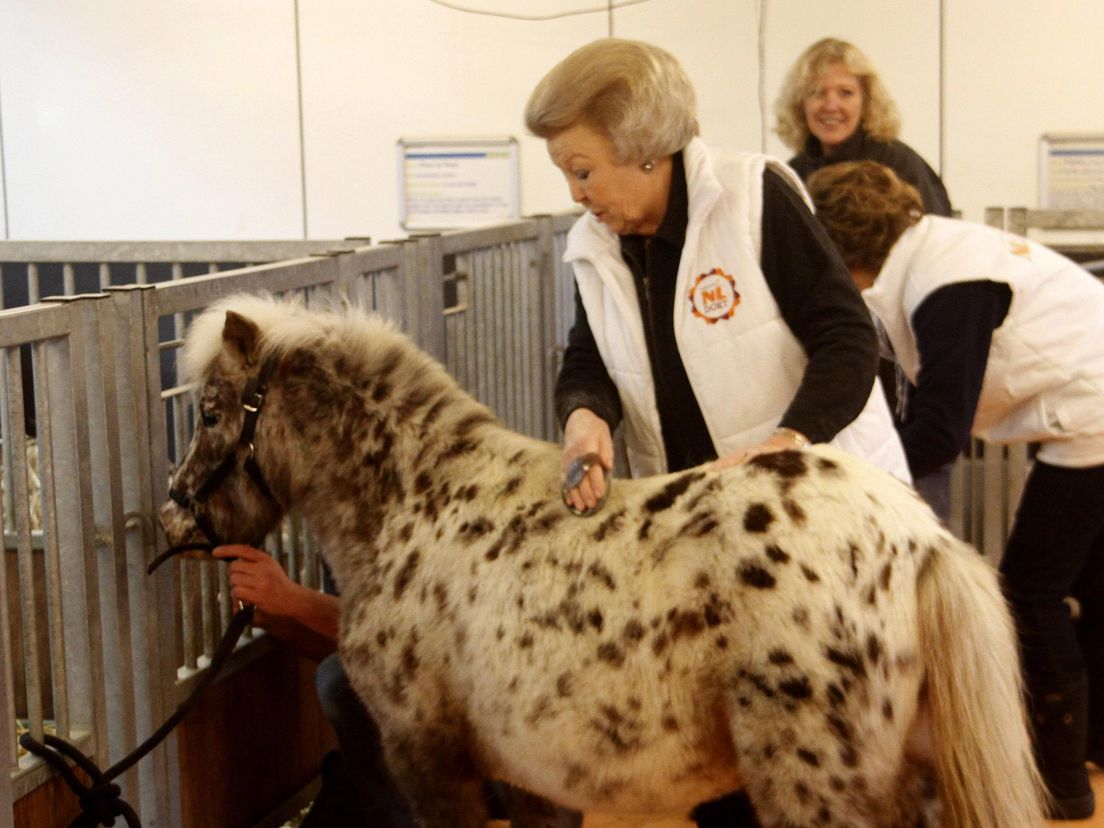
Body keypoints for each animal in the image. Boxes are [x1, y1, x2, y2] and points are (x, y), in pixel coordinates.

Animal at [160, 295, 1046, 828]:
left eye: (209, 412)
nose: (173, 508)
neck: (414, 502)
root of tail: (921, 541)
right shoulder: (530, 778)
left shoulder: (428, 757)